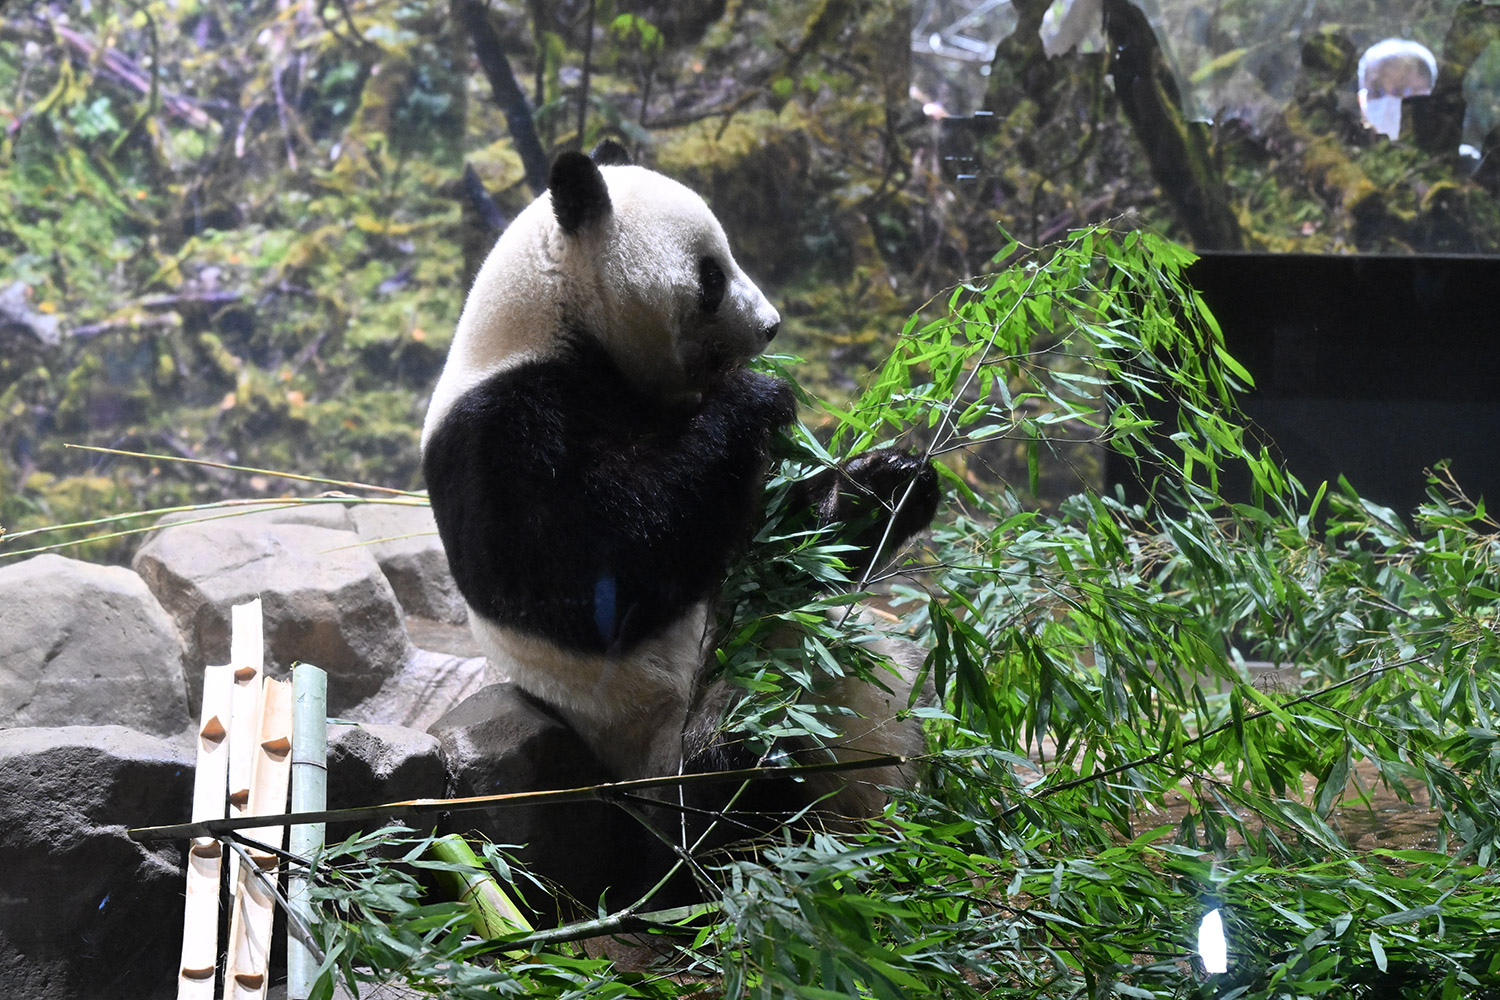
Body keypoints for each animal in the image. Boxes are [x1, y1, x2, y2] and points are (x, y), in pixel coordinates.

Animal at [421, 141, 938, 823]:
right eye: (712, 277)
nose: (771, 325)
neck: (553, 322)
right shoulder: (497, 429)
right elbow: (591, 574)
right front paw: (757, 396)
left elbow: (777, 546)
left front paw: (890, 480)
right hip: (685, 745)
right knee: (757, 744)